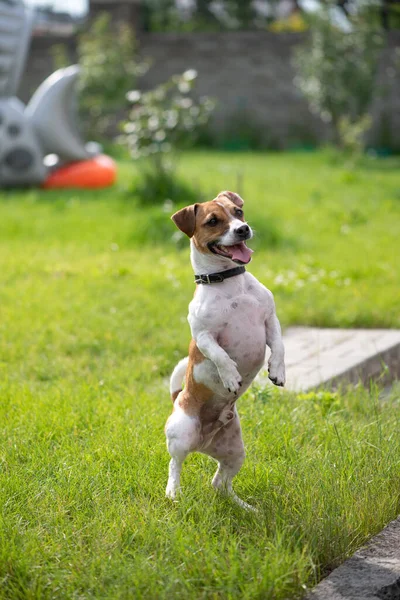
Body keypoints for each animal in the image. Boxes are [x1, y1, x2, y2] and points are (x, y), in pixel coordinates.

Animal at [165, 190, 284, 508]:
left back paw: (247, 509)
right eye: (213, 221)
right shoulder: (204, 335)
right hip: (181, 435)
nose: (242, 229)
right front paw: (230, 376)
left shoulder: (270, 320)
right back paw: (173, 493)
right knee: (175, 465)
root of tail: (203, 443)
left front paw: (278, 371)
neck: (231, 284)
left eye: (238, 212)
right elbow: (220, 355)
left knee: (219, 483)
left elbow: (279, 346)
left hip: (235, 451)